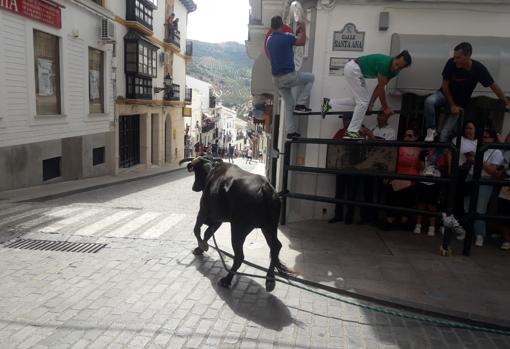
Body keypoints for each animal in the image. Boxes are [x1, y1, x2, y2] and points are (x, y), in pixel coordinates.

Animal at [181, 156, 288, 290]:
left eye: (196, 172)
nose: (194, 187)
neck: (212, 171)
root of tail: (266, 188)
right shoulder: (217, 221)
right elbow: (207, 234)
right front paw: (200, 248)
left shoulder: (203, 212)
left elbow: (196, 230)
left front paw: (202, 246)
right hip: (269, 227)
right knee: (275, 246)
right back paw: (271, 277)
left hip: (238, 229)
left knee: (240, 257)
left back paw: (227, 279)